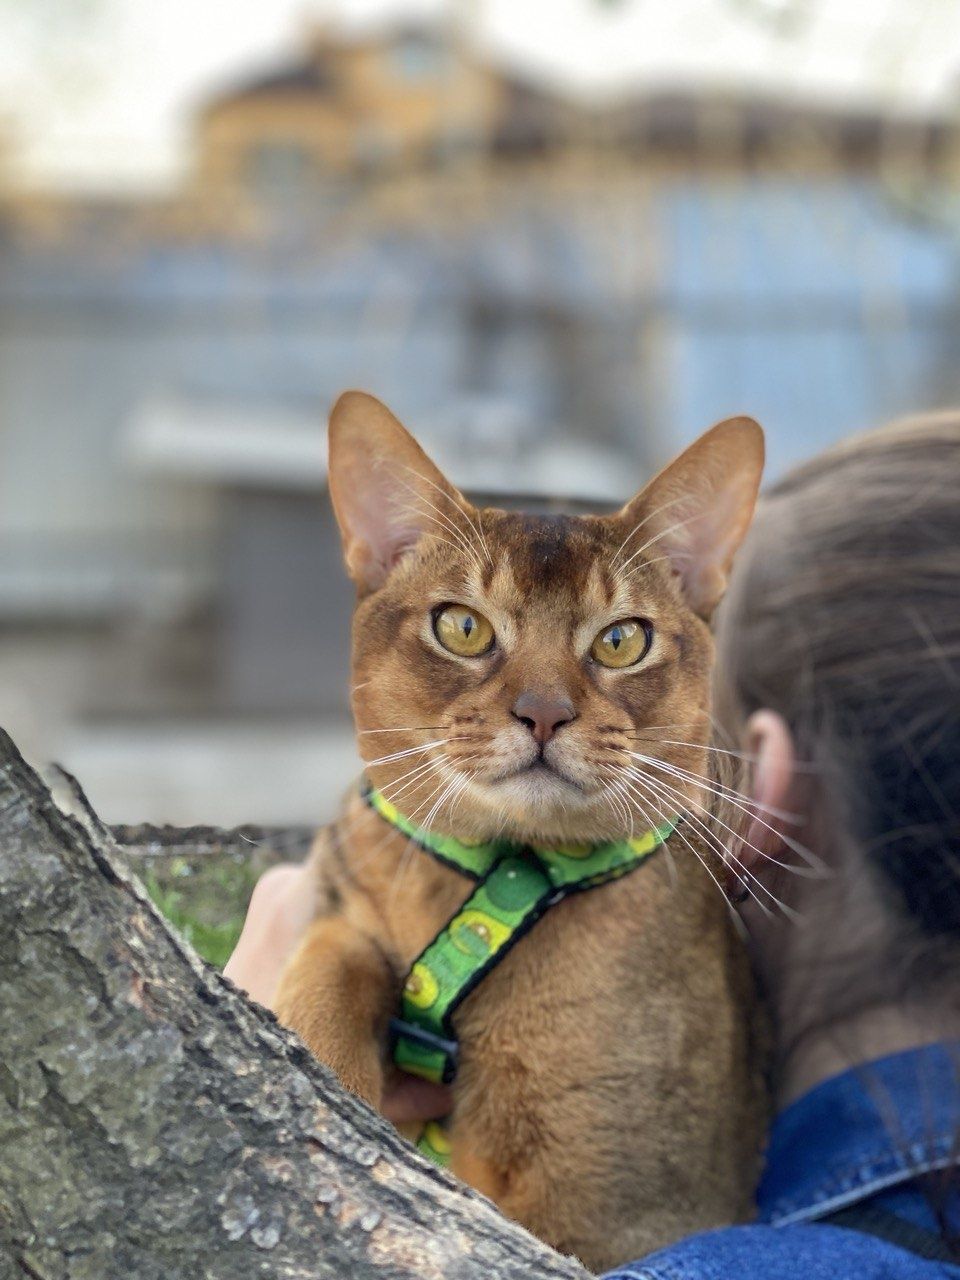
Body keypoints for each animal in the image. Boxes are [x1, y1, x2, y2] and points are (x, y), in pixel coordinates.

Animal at [273, 391, 773, 1269]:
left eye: (622, 639)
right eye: (462, 628)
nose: (543, 713)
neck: (494, 884)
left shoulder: (622, 1221)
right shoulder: (344, 900)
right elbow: (330, 964)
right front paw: (324, 1085)